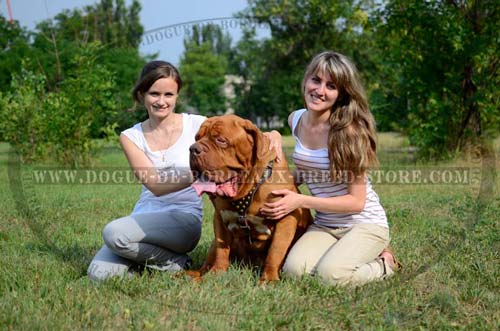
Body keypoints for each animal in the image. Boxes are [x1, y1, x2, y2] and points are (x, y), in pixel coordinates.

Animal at [189, 115, 310, 282]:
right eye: (197, 138)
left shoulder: (286, 218)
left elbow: (276, 251)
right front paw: (216, 274)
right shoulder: (219, 218)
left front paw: (268, 280)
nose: (193, 148)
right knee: (207, 262)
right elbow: (221, 249)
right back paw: (192, 275)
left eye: (221, 140)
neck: (248, 190)